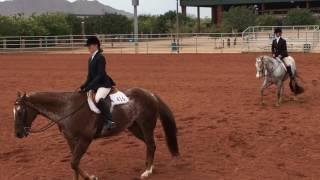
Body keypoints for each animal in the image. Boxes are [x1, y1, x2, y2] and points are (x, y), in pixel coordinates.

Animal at [13, 88, 179, 179]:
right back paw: (150, 167)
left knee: (150, 144)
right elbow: (74, 165)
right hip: (134, 127)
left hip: (146, 125)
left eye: (20, 112)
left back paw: (147, 172)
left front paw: (91, 177)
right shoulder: (71, 140)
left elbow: (74, 162)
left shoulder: (85, 140)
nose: (18, 134)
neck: (67, 108)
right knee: (150, 145)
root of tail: (150, 94)